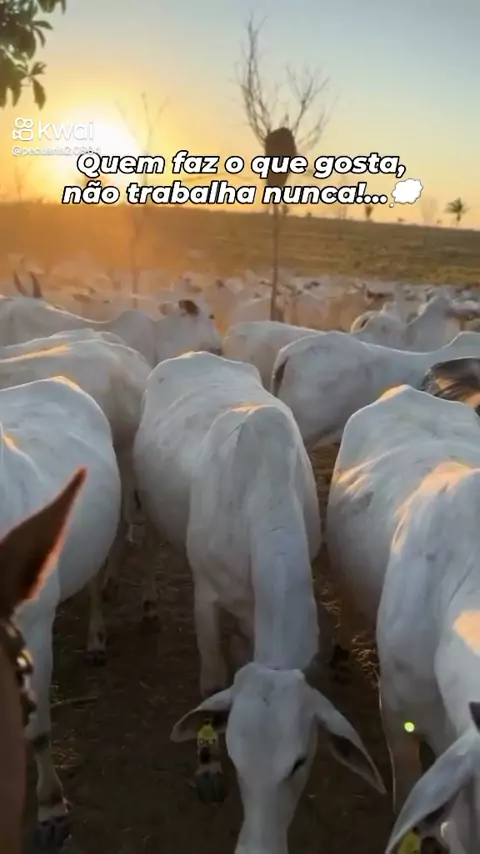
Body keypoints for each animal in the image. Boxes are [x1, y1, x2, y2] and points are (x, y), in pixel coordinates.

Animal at [133, 352, 384, 854]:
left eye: (299, 761)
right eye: (234, 755)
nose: (258, 847)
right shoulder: (205, 595)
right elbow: (212, 681)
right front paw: (207, 766)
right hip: (149, 509)